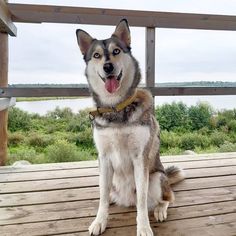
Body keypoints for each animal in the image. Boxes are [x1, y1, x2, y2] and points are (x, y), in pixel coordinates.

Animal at [76, 18, 185, 236]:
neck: (116, 108)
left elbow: (142, 201)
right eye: (96, 55)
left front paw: (143, 227)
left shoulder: (139, 158)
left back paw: (160, 209)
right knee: (107, 193)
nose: (108, 67)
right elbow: (102, 197)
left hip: (157, 178)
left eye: (116, 51)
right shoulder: (103, 158)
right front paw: (99, 221)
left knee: (168, 197)